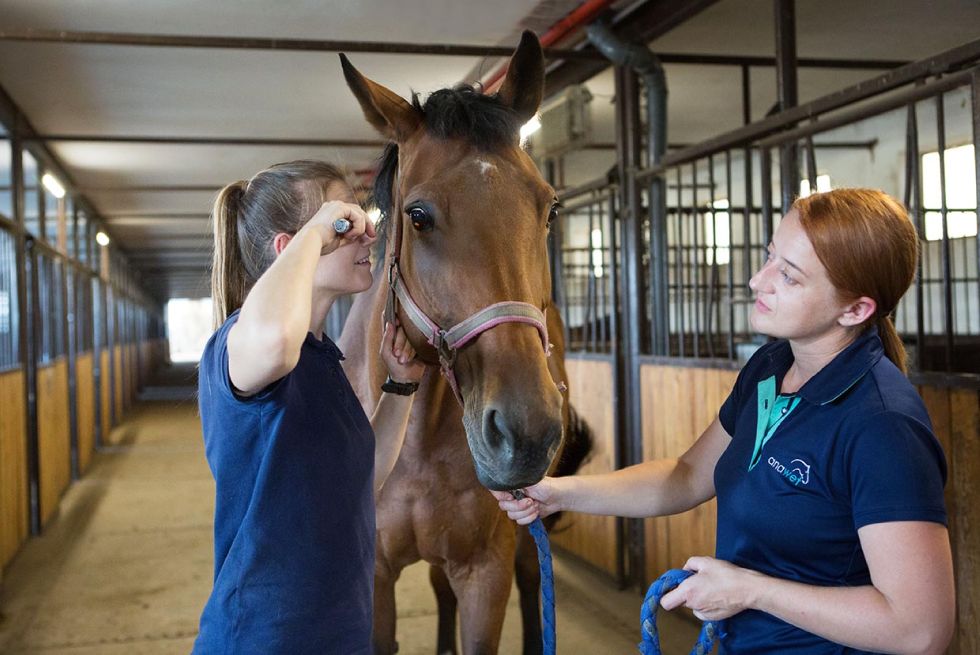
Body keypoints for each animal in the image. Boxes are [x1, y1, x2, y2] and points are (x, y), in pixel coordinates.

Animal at [340, 33, 592, 652]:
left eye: (550, 207)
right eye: (418, 216)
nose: (527, 431)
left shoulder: (485, 569)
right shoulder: (375, 575)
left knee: (530, 582)